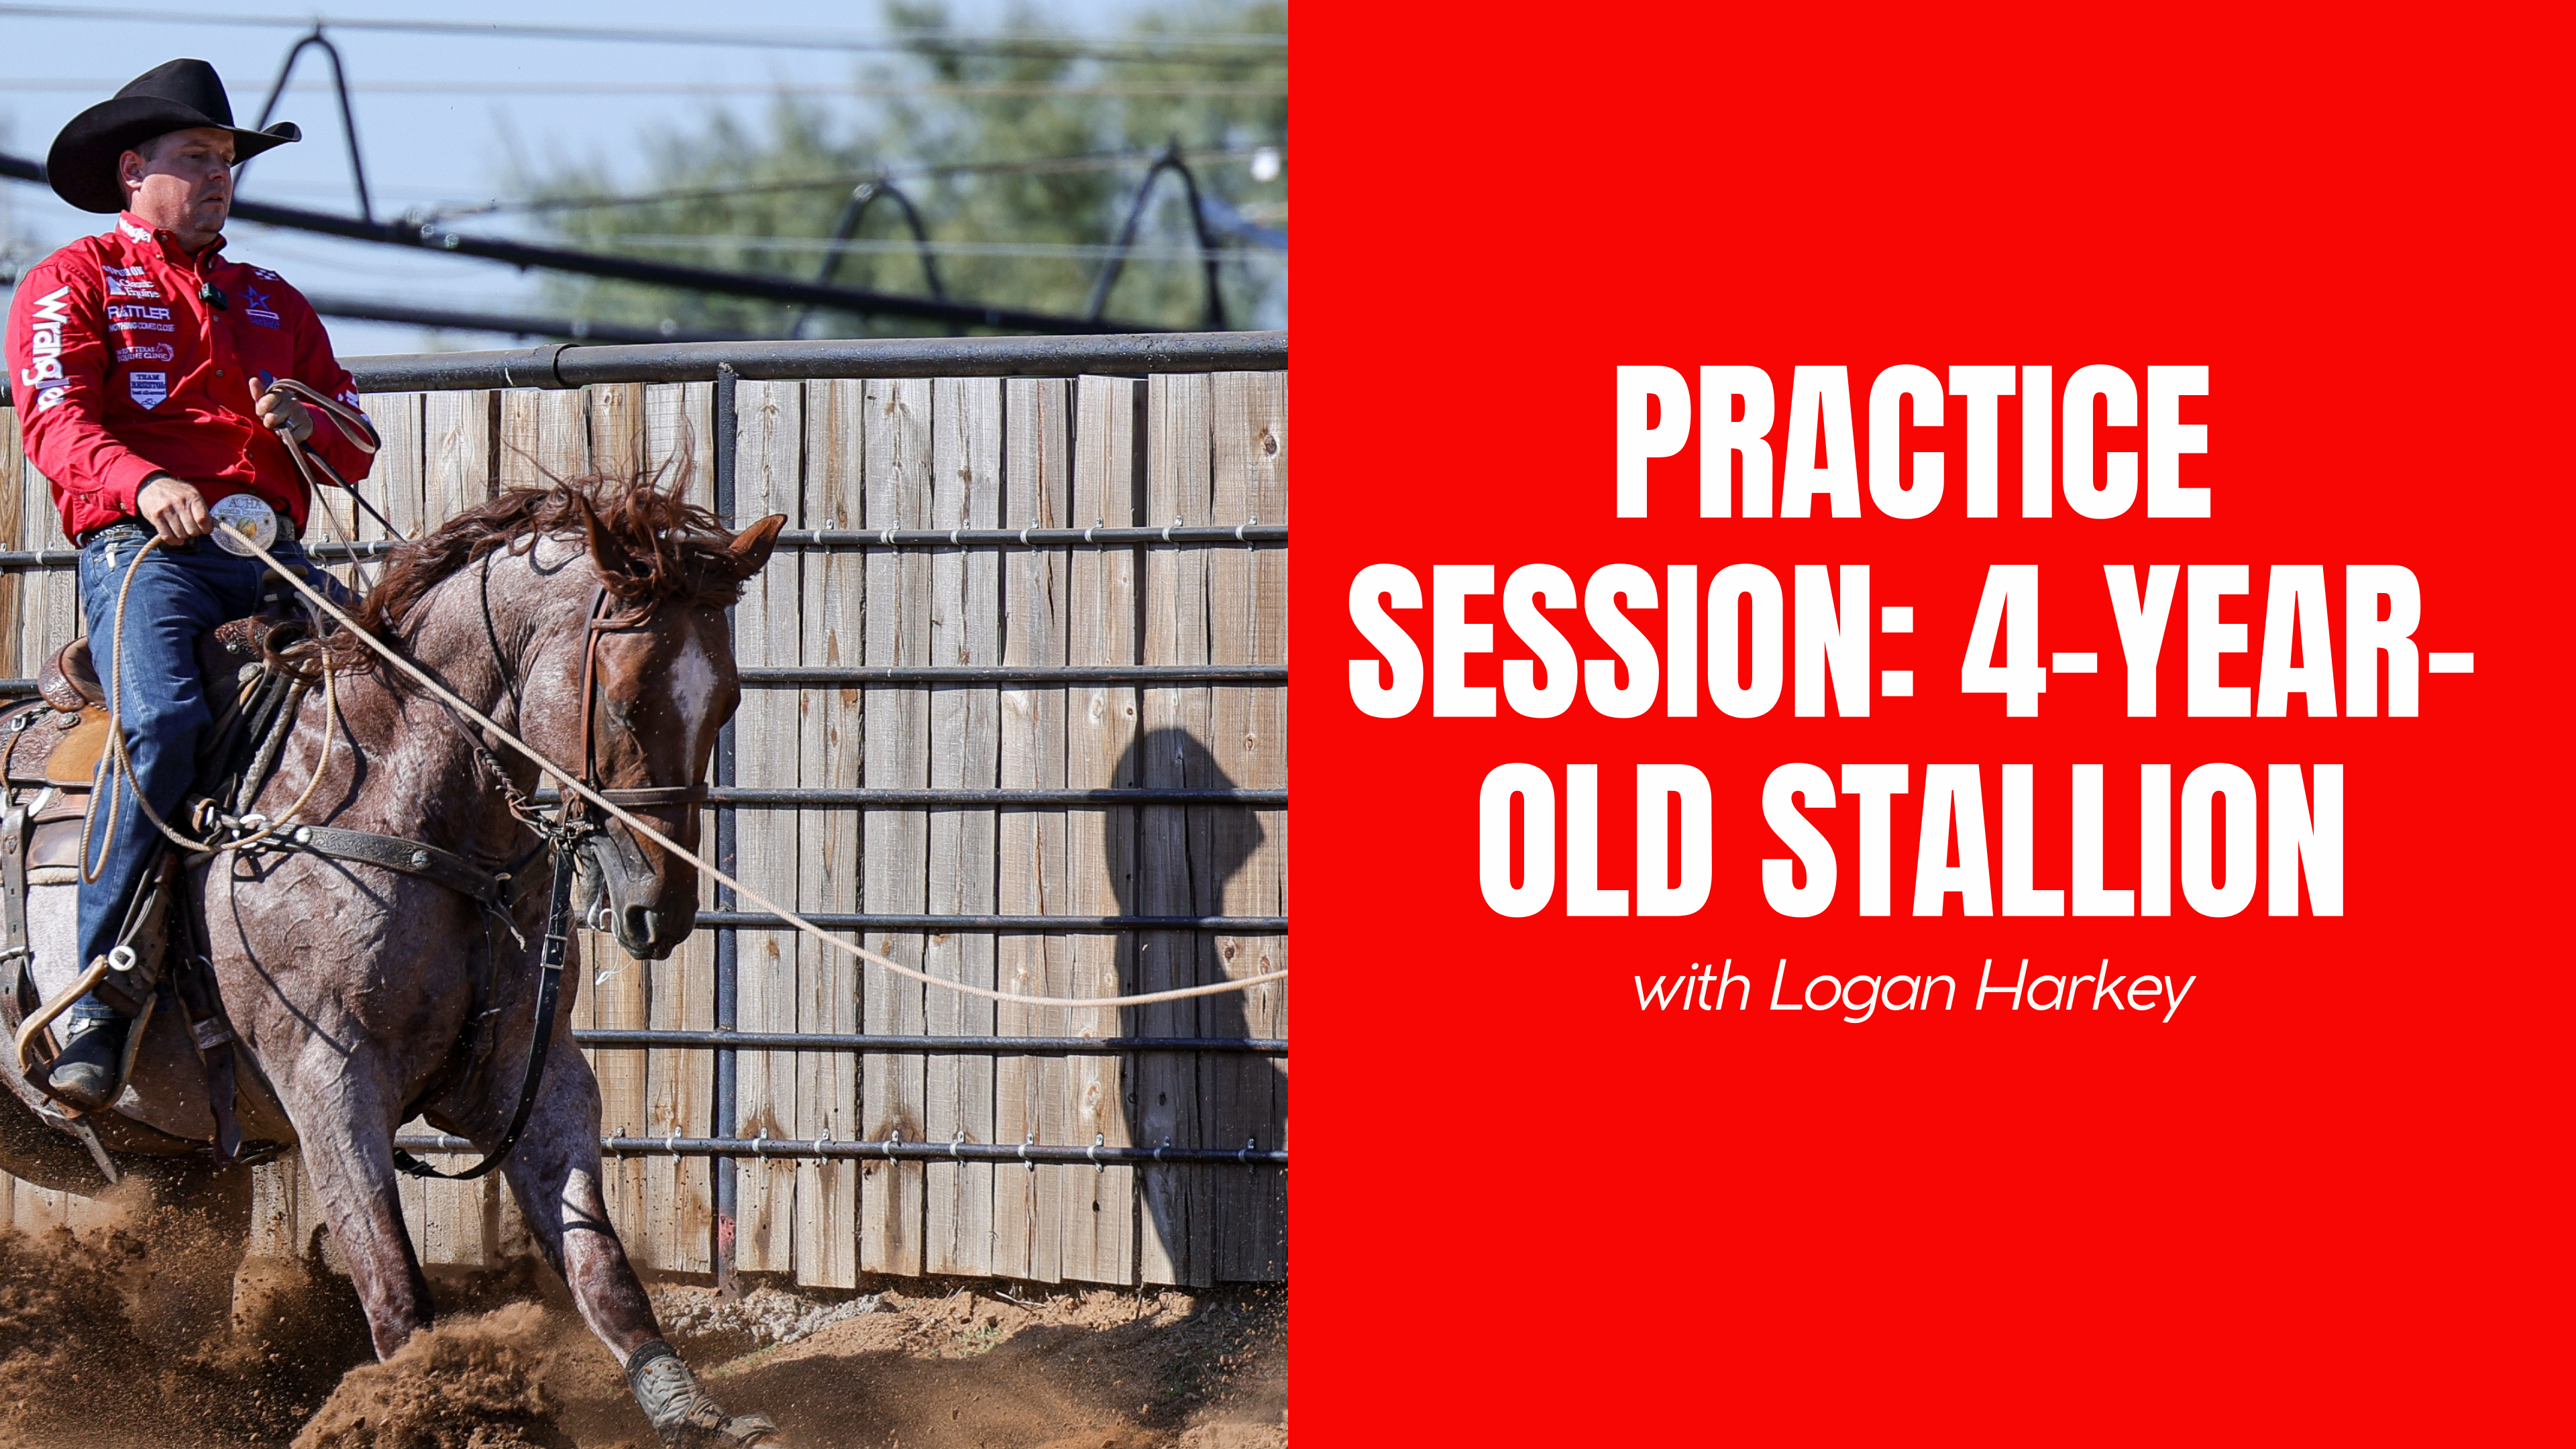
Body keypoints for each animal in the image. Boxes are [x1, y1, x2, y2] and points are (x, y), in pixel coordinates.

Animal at [123, 472, 781, 1445]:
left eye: (728, 703)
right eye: (625, 701)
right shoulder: (328, 1080)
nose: (658, 910)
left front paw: (691, 1412)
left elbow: (601, 1265)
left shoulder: (529, 1071)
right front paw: (436, 1409)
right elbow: (395, 1284)